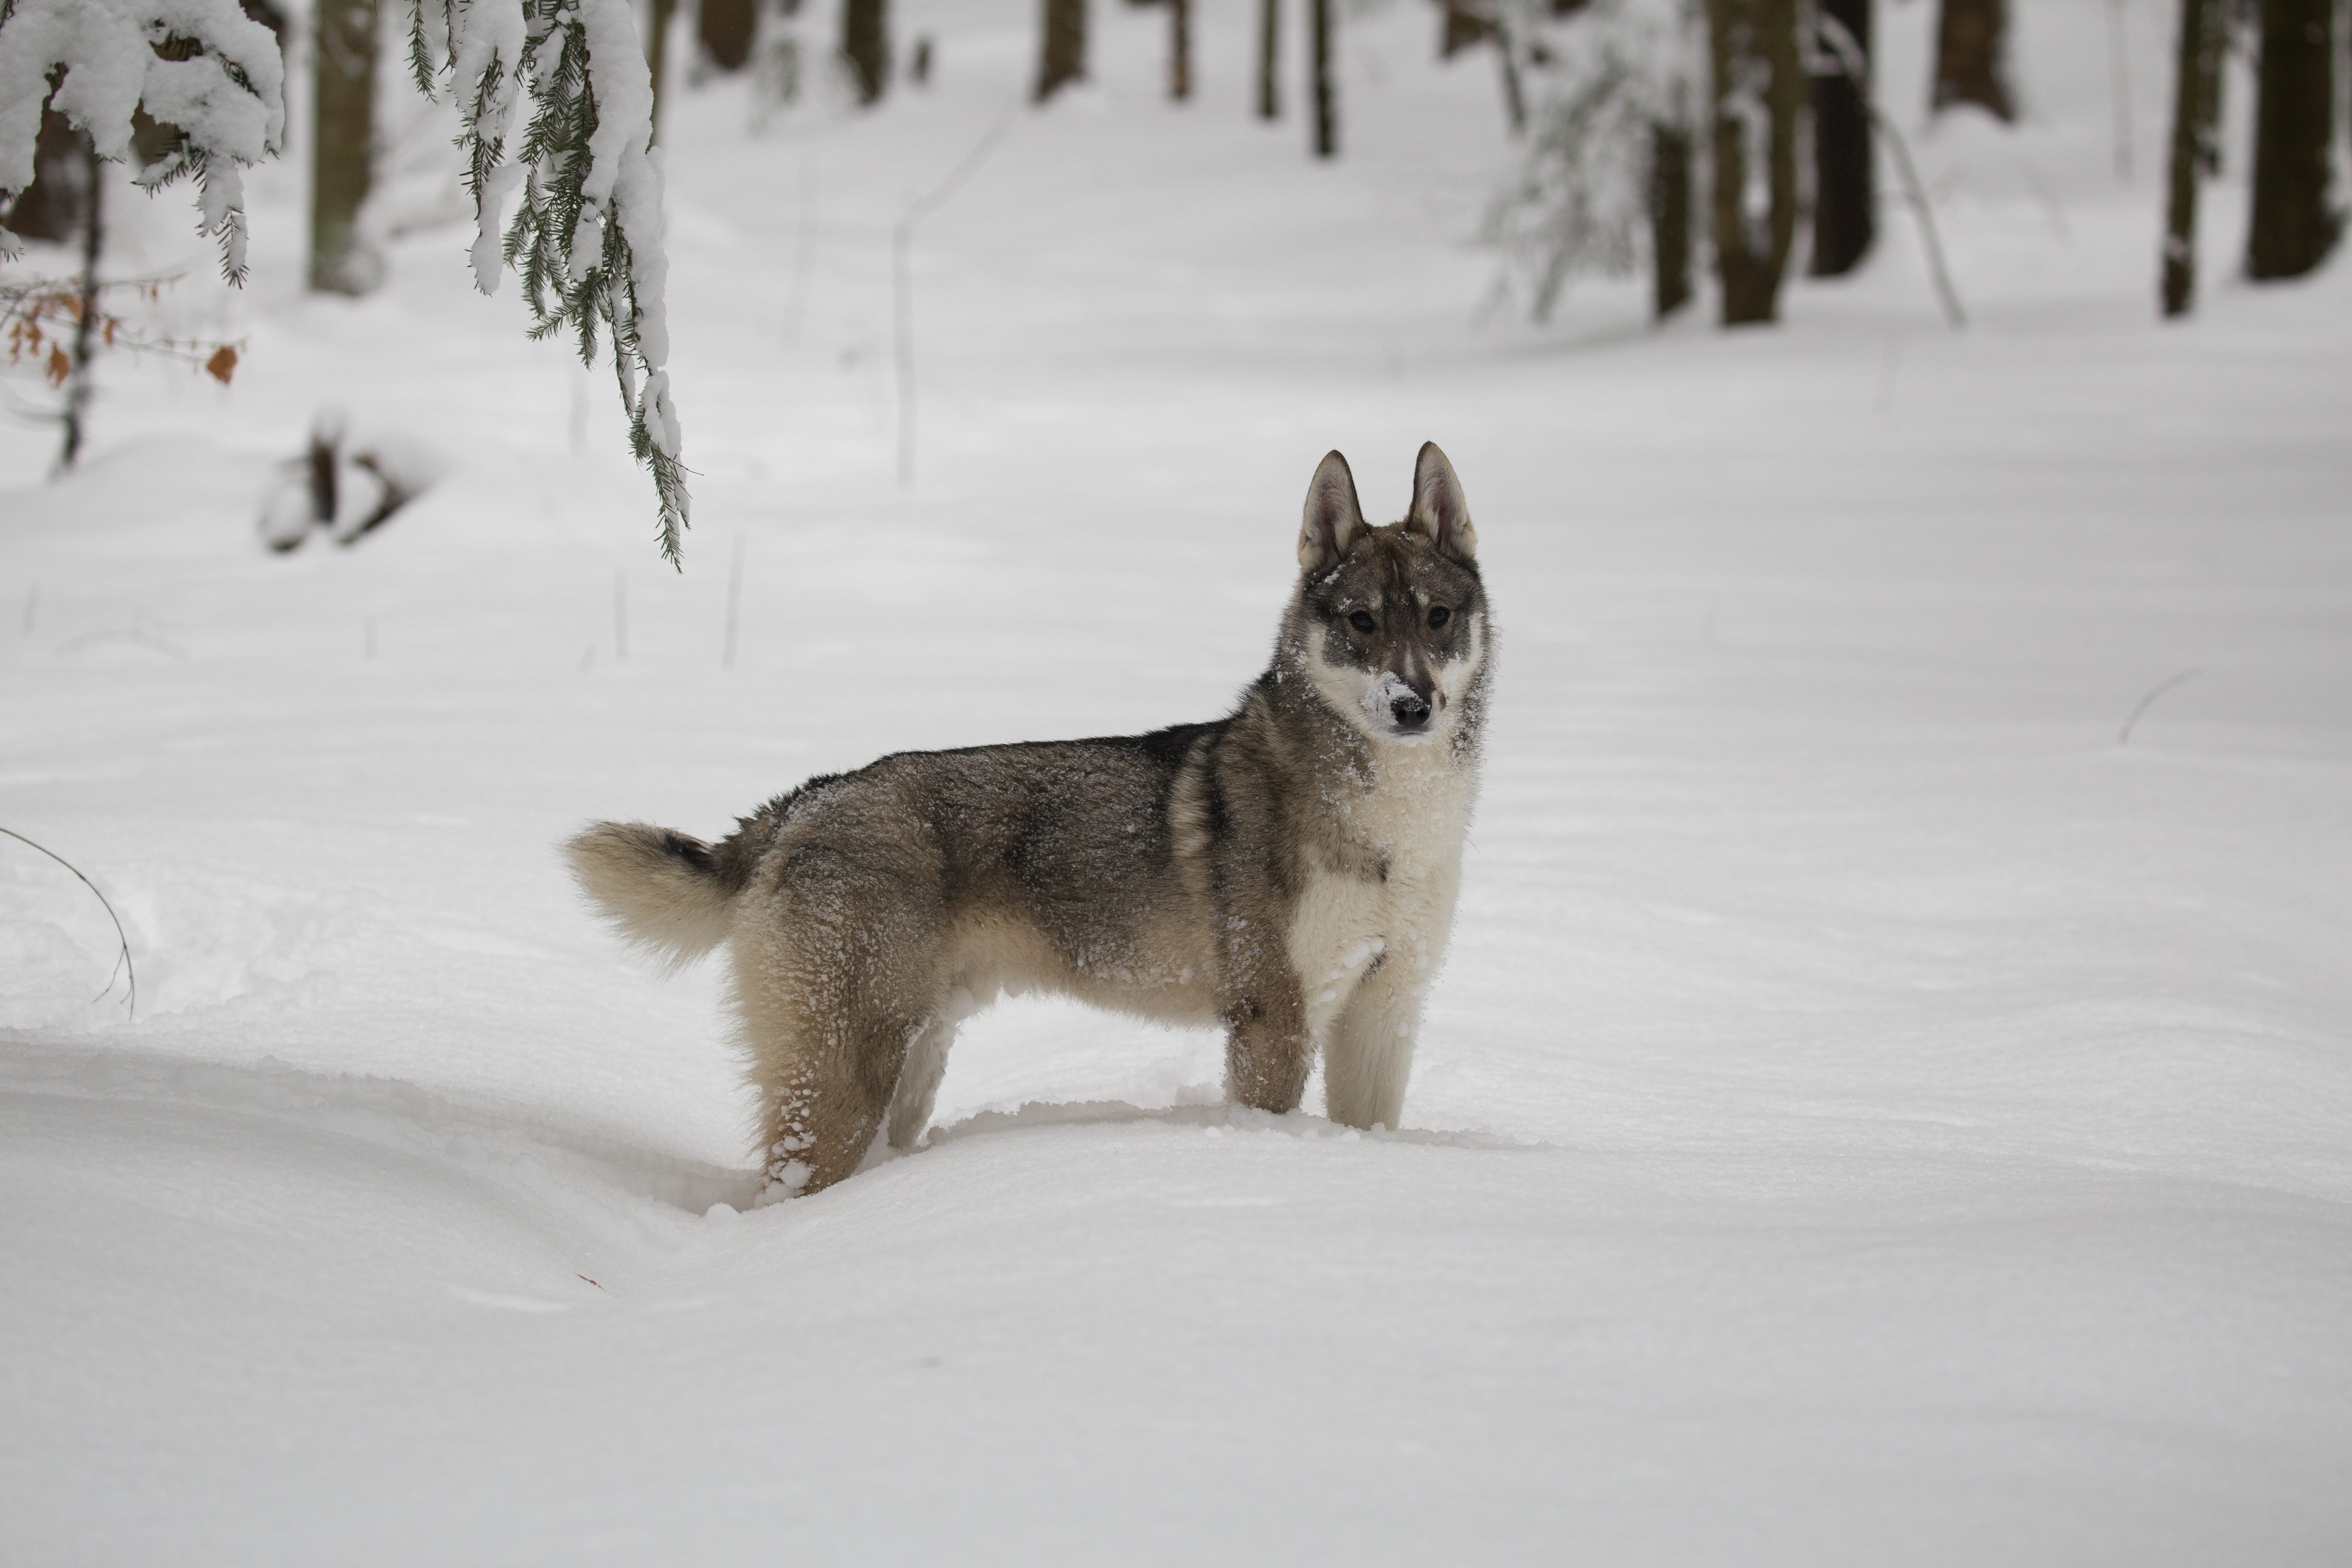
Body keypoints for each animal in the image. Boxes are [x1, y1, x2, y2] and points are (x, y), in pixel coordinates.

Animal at [567, 442, 1486, 1204]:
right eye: (1362, 621)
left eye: (1437, 616)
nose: (1413, 705)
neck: (1396, 826)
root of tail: (805, 799)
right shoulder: (1272, 1022)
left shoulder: (1385, 1013)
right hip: (844, 1081)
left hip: (911, 1069)